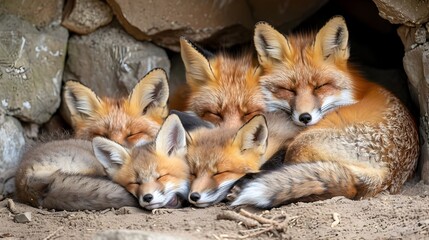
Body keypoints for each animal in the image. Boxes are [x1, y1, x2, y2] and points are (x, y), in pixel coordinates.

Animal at [231, 16, 418, 208]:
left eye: (320, 86)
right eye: (289, 90)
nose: (305, 117)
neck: (350, 94)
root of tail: (386, 173)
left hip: (302, 144)